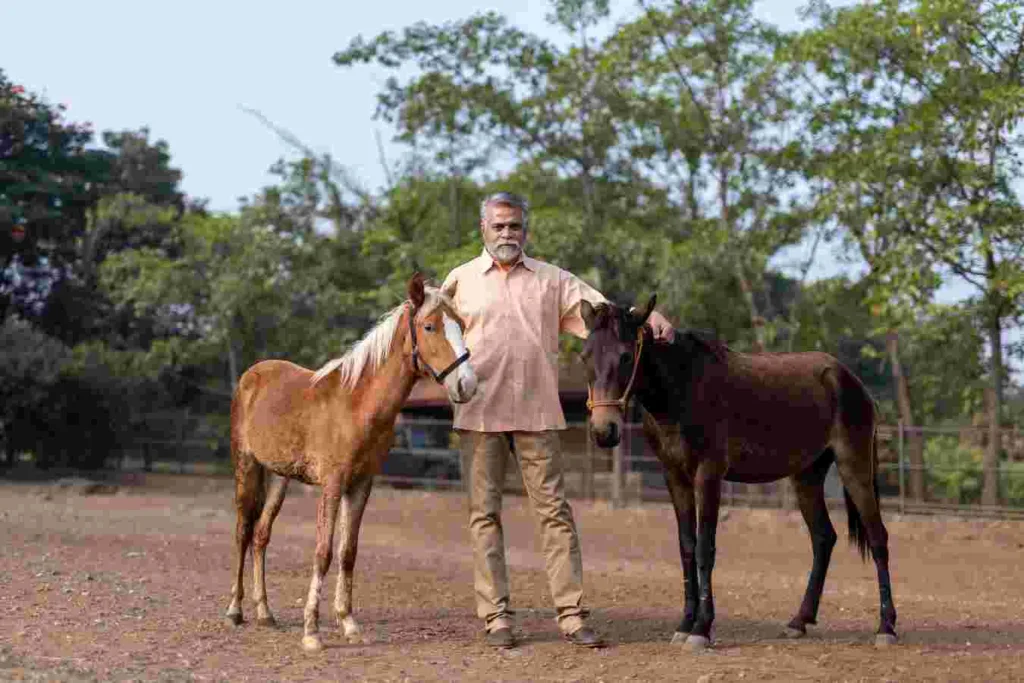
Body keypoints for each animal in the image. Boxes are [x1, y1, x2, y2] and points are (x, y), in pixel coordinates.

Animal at [224, 273, 478, 652]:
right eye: (430, 326)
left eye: (461, 324)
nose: (467, 384)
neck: (357, 405)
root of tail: (251, 376)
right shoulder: (332, 485)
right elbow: (323, 552)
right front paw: (312, 632)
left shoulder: (360, 485)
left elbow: (348, 552)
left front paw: (348, 624)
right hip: (246, 466)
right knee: (242, 532)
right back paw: (234, 611)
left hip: (279, 478)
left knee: (261, 535)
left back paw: (265, 613)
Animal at [579, 297, 897, 651]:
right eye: (585, 356)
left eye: (625, 355)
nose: (603, 431)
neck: (682, 388)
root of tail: (851, 381)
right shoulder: (675, 477)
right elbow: (686, 547)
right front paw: (685, 624)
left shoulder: (708, 475)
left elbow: (705, 548)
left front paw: (701, 629)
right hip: (807, 476)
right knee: (823, 538)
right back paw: (799, 621)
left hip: (854, 466)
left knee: (878, 538)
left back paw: (885, 627)